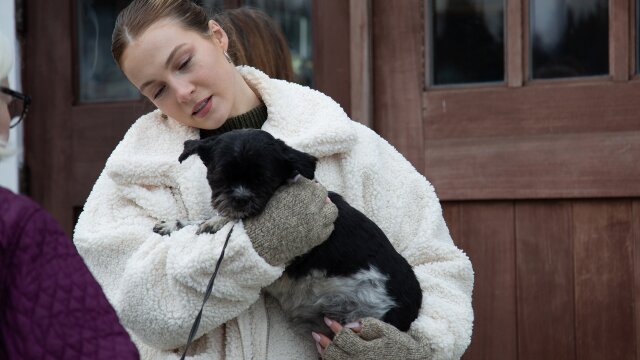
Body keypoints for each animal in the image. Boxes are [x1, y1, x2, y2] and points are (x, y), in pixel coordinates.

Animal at [155, 129, 422, 334]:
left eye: (264, 179)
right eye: (220, 175)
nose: (240, 199)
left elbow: (228, 222)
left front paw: (214, 222)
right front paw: (175, 224)